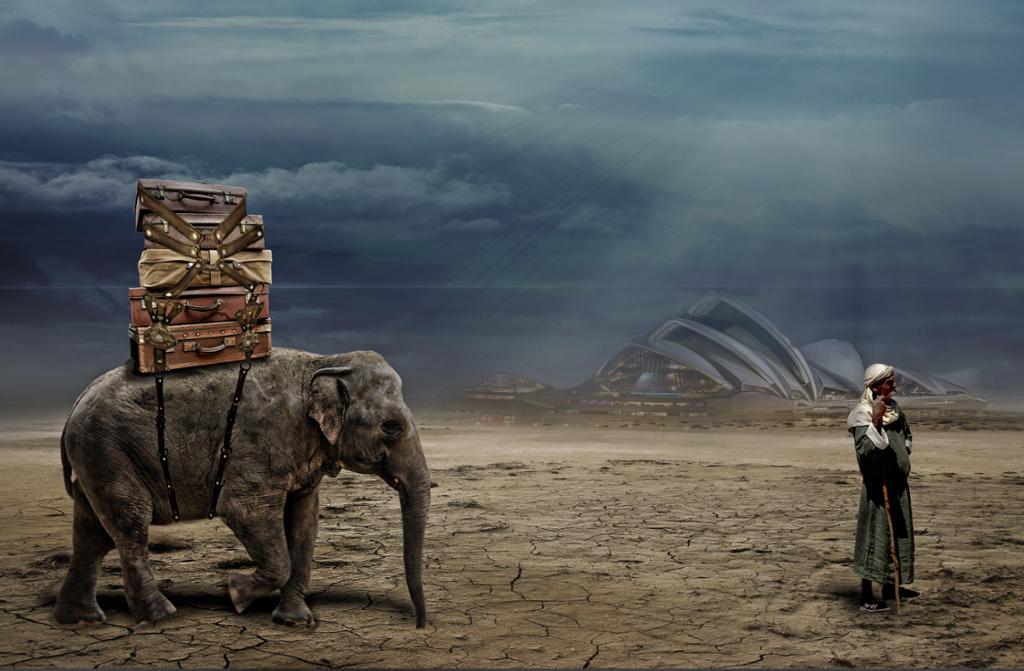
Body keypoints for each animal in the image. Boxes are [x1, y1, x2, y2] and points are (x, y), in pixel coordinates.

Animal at [52, 348, 428, 626]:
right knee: (129, 525)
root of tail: (74, 408)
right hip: (108, 452)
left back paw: (81, 620)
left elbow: (305, 522)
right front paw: (235, 594)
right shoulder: (261, 442)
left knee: (93, 534)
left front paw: (294, 622)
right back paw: (161, 617)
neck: (325, 362)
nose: (419, 624)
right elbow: (242, 509)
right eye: (391, 427)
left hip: (97, 456)